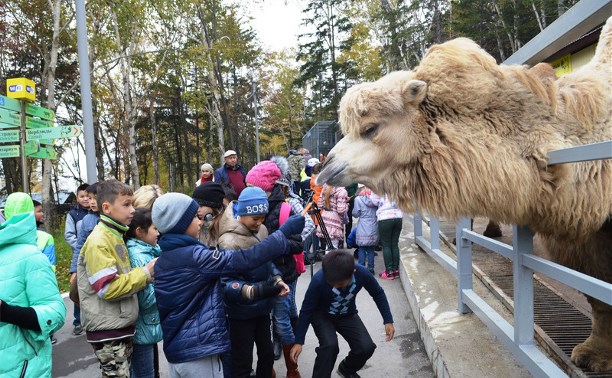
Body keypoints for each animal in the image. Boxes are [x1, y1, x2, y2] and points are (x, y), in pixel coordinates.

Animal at [318, 17, 608, 372]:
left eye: (371, 128)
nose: (326, 167)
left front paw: (595, 356)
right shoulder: (581, 238)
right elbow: (597, 296)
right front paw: (592, 353)